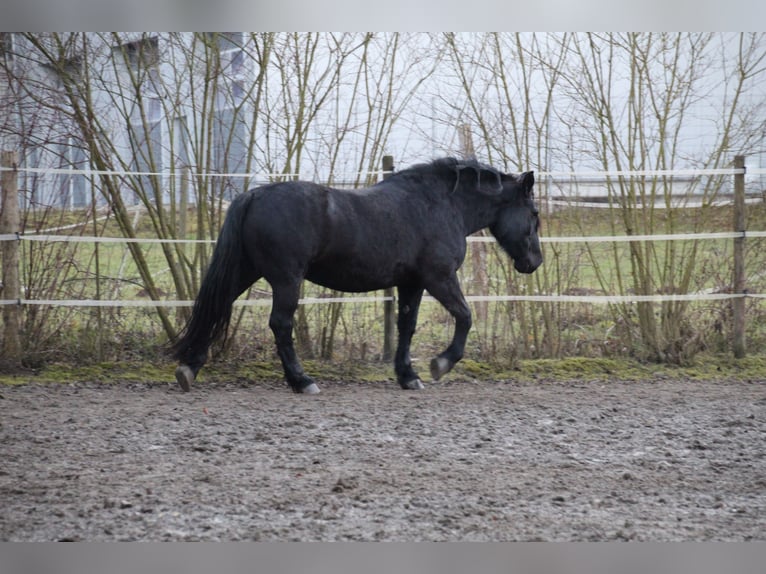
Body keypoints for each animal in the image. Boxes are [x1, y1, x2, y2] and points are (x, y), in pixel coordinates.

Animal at [171, 155, 544, 394]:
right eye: (534, 213)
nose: (534, 262)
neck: (440, 205)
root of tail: (256, 194)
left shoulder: (411, 283)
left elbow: (406, 327)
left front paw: (408, 376)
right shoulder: (439, 277)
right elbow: (465, 316)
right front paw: (440, 364)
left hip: (247, 272)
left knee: (216, 307)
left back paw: (189, 368)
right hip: (286, 279)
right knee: (280, 324)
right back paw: (302, 381)